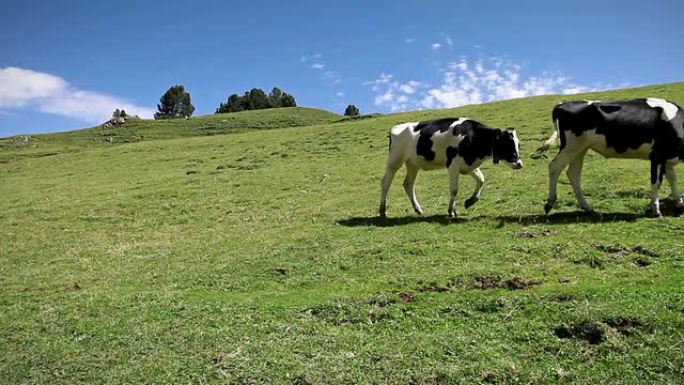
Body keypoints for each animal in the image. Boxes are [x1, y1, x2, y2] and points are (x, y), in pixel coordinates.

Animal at [376, 117, 520, 218]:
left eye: (518, 144)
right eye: (507, 143)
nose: (519, 163)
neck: (472, 136)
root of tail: (395, 128)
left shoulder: (468, 164)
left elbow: (481, 179)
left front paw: (470, 201)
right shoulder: (453, 164)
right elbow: (454, 189)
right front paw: (451, 211)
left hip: (413, 164)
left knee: (408, 184)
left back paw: (418, 209)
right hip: (394, 161)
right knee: (386, 183)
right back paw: (382, 210)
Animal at [540, 97, 684, 216]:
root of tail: (562, 104)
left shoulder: (668, 159)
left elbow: (673, 178)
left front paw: (679, 202)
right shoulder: (657, 156)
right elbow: (657, 182)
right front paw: (656, 209)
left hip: (580, 148)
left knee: (573, 173)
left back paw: (587, 206)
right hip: (571, 146)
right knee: (555, 167)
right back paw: (550, 203)